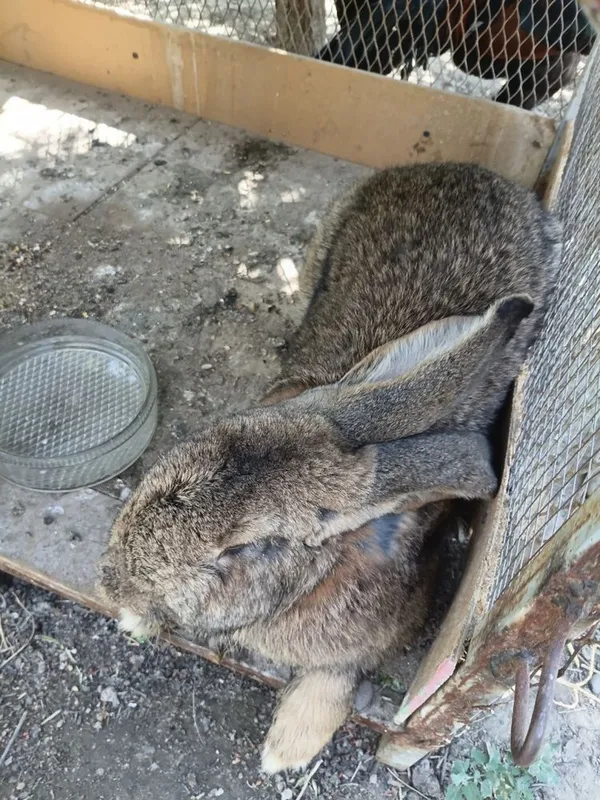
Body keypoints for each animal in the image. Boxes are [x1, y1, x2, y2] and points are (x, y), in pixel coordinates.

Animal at [98, 162, 562, 772]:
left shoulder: (386, 634)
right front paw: (137, 620)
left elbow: (338, 679)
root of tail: (463, 169)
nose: (110, 582)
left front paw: (284, 749)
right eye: (196, 442)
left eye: (246, 548)